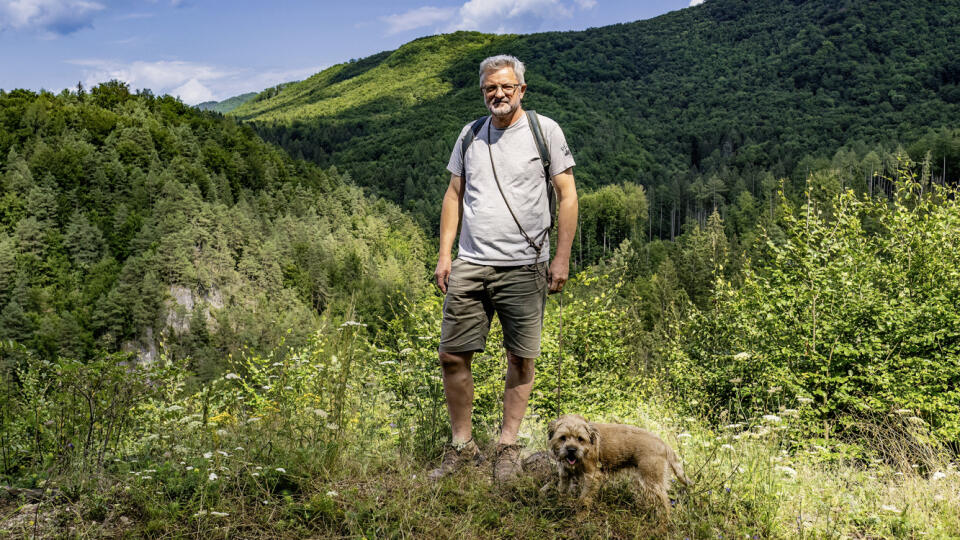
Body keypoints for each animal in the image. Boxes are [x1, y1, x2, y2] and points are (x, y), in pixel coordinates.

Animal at [540, 414, 688, 510]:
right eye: (563, 438)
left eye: (580, 439)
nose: (571, 449)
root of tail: (664, 444)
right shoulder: (565, 475)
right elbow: (562, 491)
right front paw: (560, 505)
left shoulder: (592, 477)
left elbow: (584, 499)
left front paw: (579, 516)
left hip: (652, 481)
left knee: (665, 504)